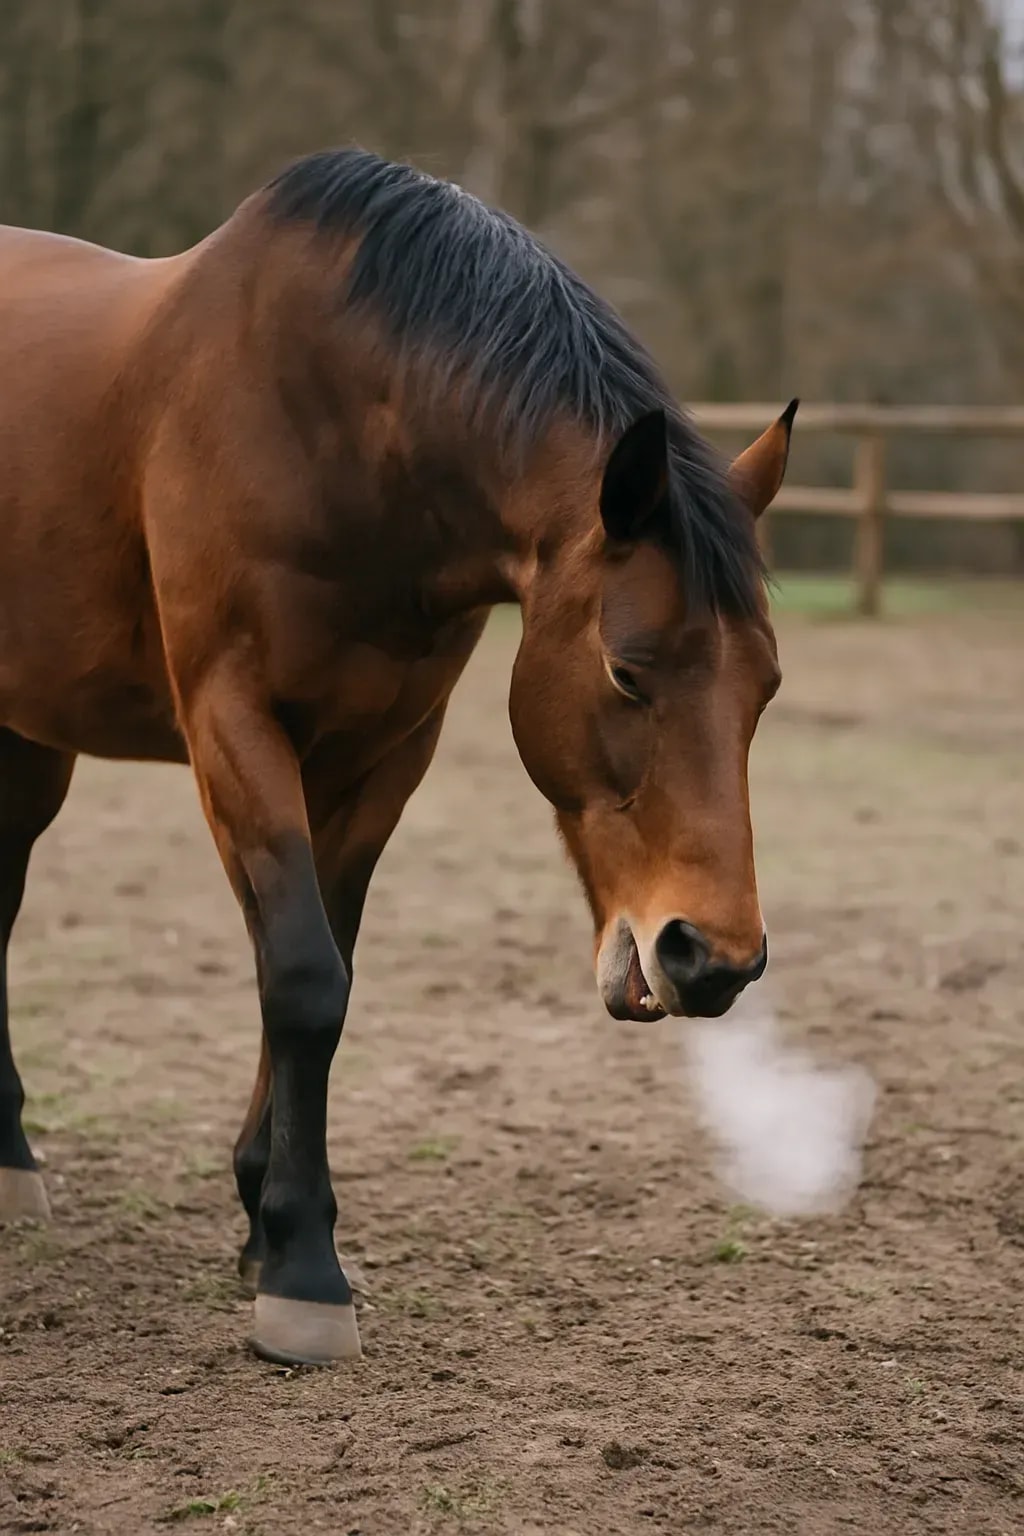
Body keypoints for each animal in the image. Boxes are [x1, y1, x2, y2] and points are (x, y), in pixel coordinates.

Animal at [0, 147, 795, 1366]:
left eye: (767, 687)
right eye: (627, 673)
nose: (714, 959)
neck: (336, 435)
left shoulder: (382, 753)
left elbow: (322, 967)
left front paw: (267, 1215)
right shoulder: (233, 722)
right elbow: (302, 975)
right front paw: (304, 1273)